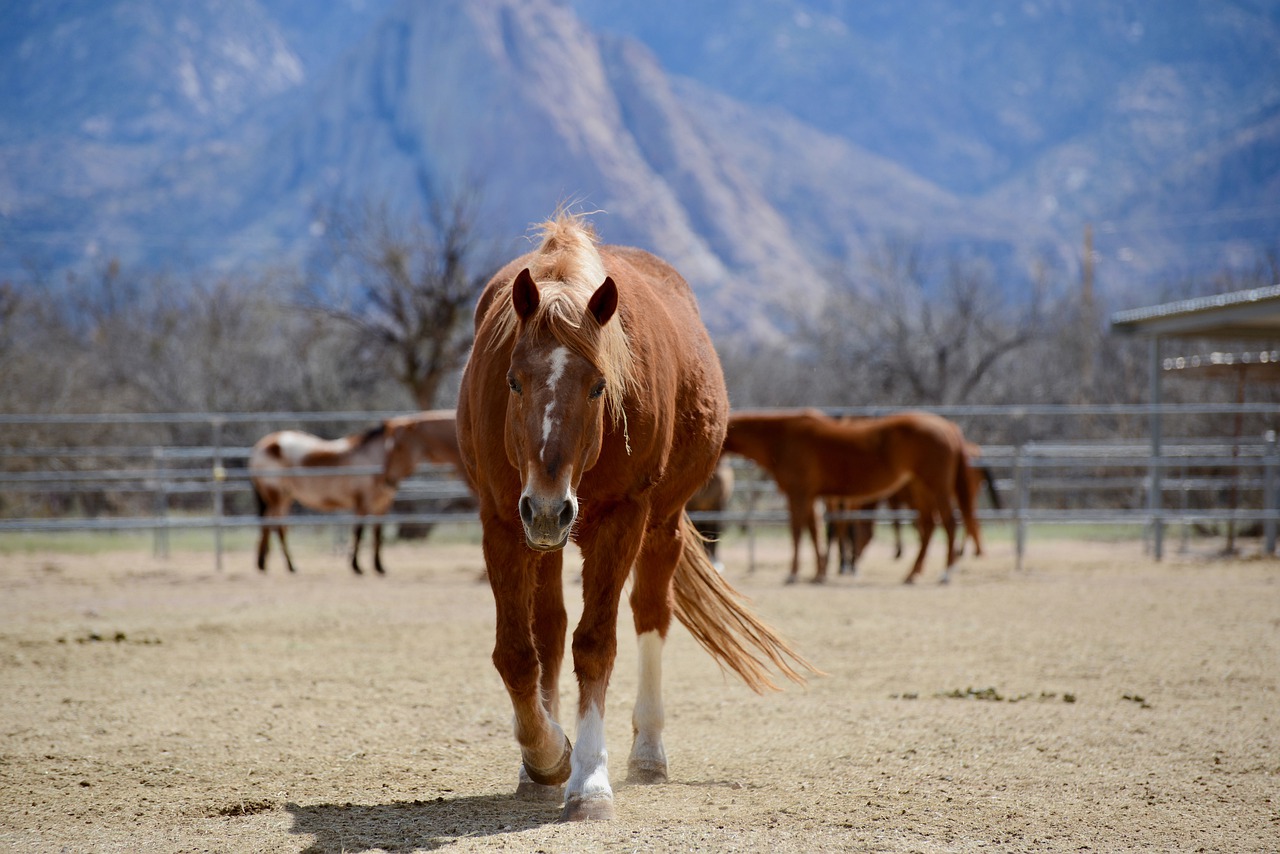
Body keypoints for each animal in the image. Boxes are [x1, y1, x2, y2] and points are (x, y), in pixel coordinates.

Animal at [247, 407, 463, 573]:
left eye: (397, 447)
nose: (388, 480)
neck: (370, 456)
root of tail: (263, 445)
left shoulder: (382, 504)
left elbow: (377, 533)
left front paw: (379, 566)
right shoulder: (362, 501)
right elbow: (359, 530)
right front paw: (356, 566)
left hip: (284, 497)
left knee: (270, 526)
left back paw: (263, 563)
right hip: (275, 495)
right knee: (277, 527)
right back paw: (290, 565)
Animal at [455, 212, 814, 819]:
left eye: (599, 385)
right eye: (513, 381)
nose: (549, 507)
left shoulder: (623, 519)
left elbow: (597, 645)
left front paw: (588, 780)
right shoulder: (503, 520)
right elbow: (518, 653)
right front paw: (547, 755)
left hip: (659, 526)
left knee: (650, 615)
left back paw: (647, 753)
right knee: (550, 629)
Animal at [721, 409, 977, 583]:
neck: (782, 438)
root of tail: (948, 427)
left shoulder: (799, 494)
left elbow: (797, 532)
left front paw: (793, 574)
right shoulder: (812, 497)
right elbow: (815, 533)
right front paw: (819, 573)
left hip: (937, 488)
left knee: (949, 524)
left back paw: (945, 573)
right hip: (920, 489)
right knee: (930, 526)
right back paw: (912, 573)